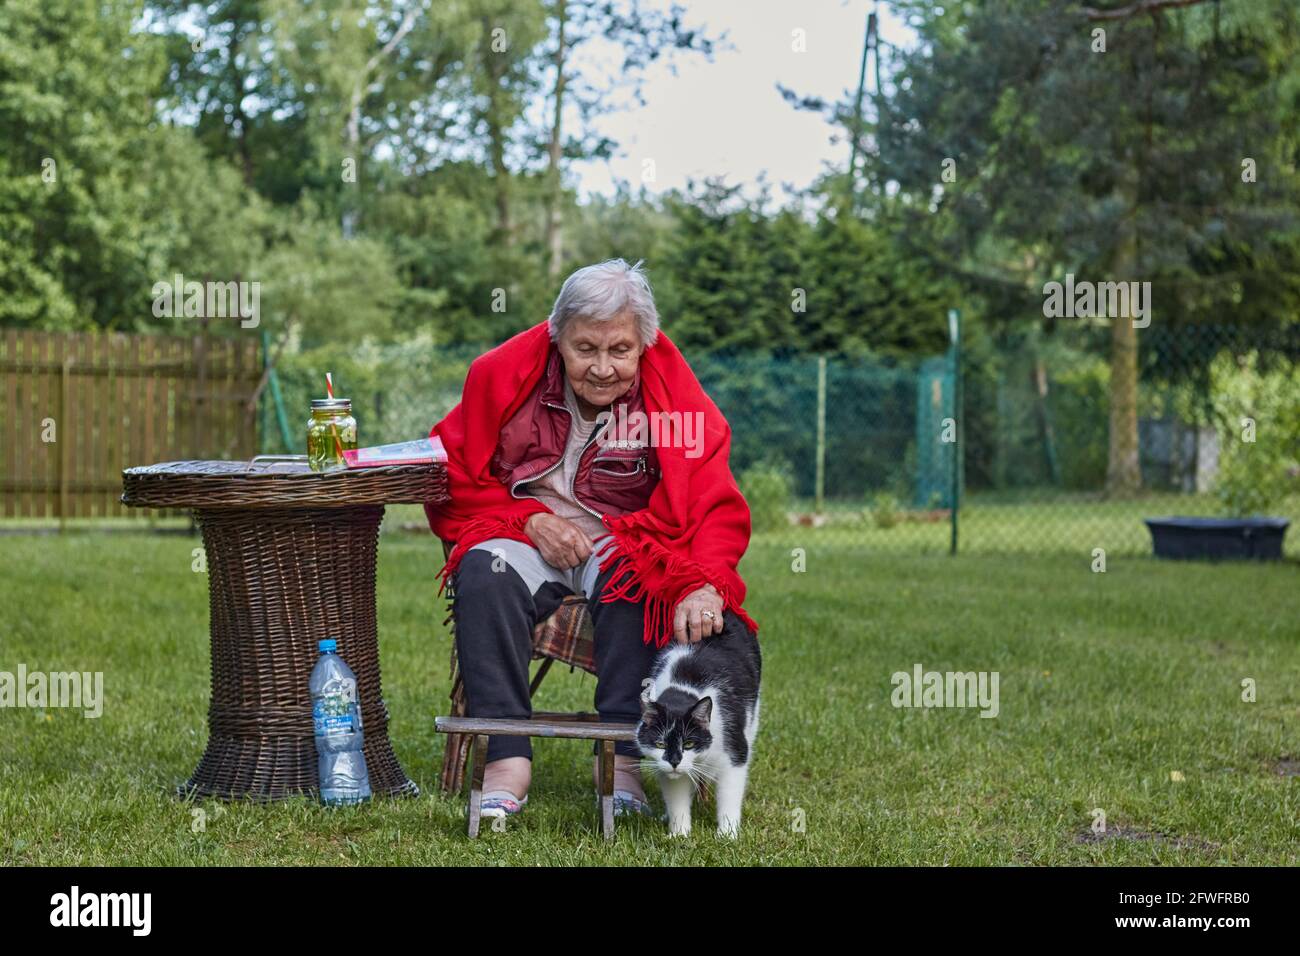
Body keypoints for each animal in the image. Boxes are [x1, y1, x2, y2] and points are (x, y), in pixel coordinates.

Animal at [634, 613, 759, 837]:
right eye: (660, 744)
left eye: (689, 743)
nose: (674, 761)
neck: (683, 688)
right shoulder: (668, 770)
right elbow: (677, 799)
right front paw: (679, 834)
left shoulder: (735, 753)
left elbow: (729, 795)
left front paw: (727, 835)